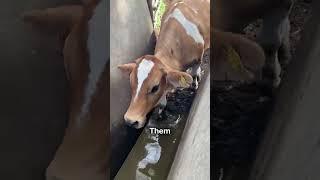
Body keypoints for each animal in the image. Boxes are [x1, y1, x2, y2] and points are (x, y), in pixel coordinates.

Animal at [117, 0, 210, 129]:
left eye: (155, 88)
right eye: (131, 83)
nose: (130, 120)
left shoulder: (197, 60)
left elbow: (195, 74)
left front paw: (194, 85)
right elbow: (162, 103)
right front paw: (161, 113)